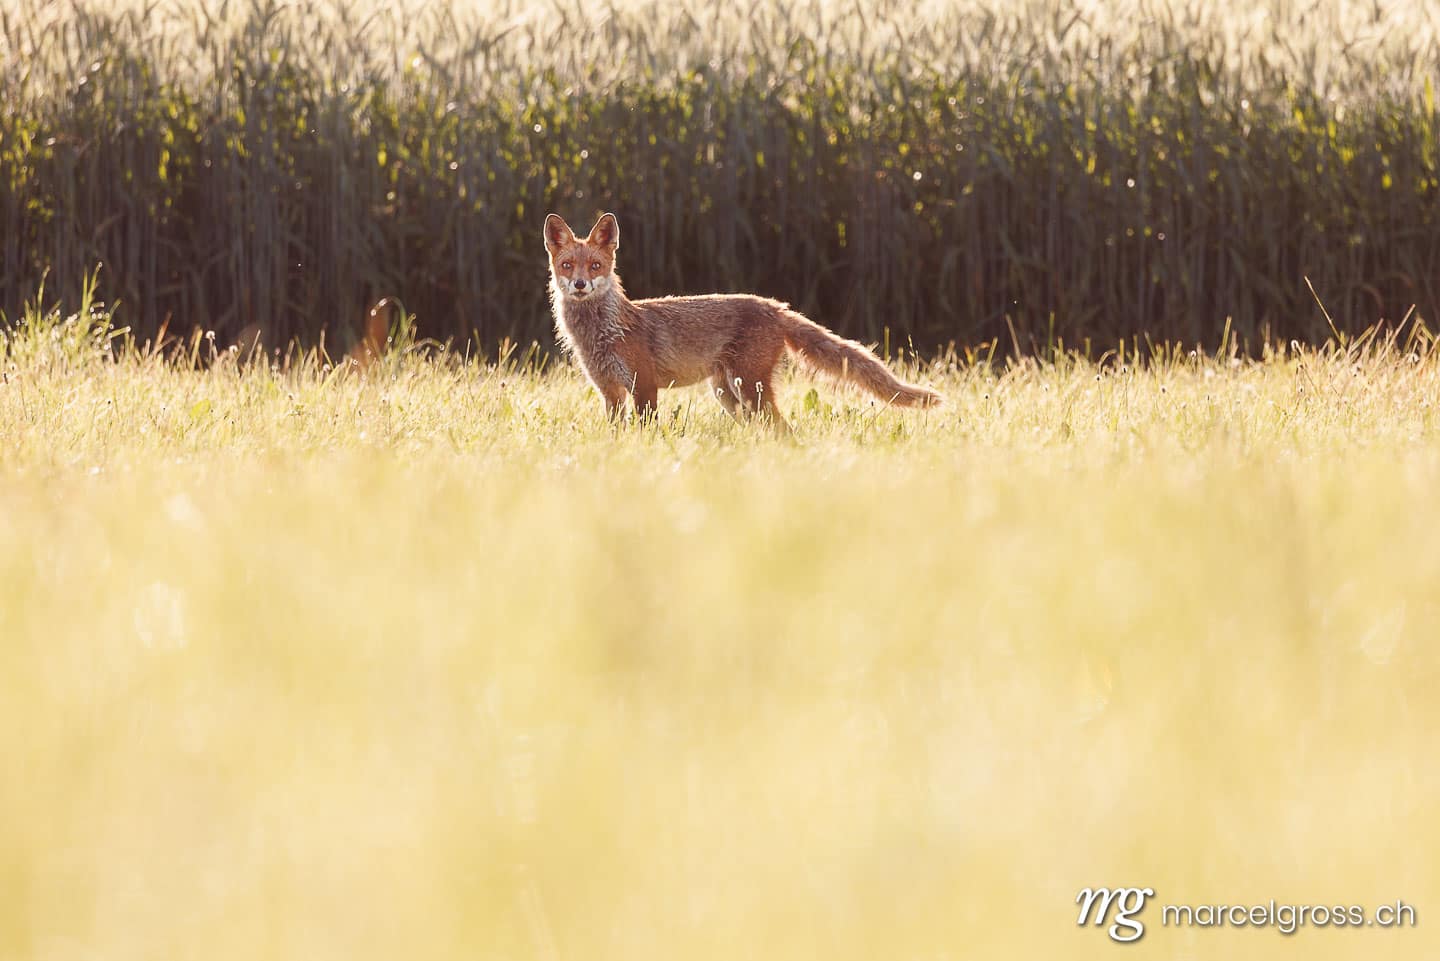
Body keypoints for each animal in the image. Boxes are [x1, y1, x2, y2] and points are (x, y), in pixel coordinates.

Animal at [544, 211, 941, 431]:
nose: (579, 285)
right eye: (568, 266)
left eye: (595, 266)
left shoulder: (644, 387)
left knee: (785, 430)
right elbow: (616, 435)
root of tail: (776, 306)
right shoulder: (610, 393)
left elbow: (645, 433)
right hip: (729, 395)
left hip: (749, 390)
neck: (603, 332)